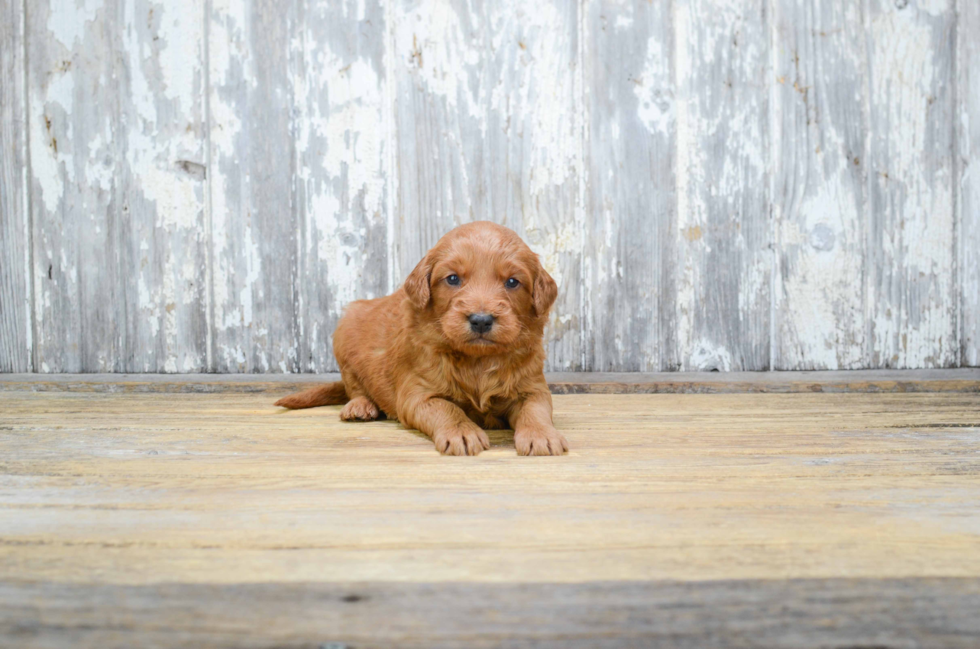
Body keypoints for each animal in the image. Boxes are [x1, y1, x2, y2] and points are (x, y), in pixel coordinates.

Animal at [274, 221, 568, 456]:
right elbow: (447, 409)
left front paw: (541, 435)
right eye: (452, 279)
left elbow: (536, 409)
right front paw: (462, 432)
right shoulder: (418, 394)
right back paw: (359, 406)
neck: (477, 360)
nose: (481, 320)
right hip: (345, 335)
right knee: (353, 385)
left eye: (512, 282)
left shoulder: (532, 387)